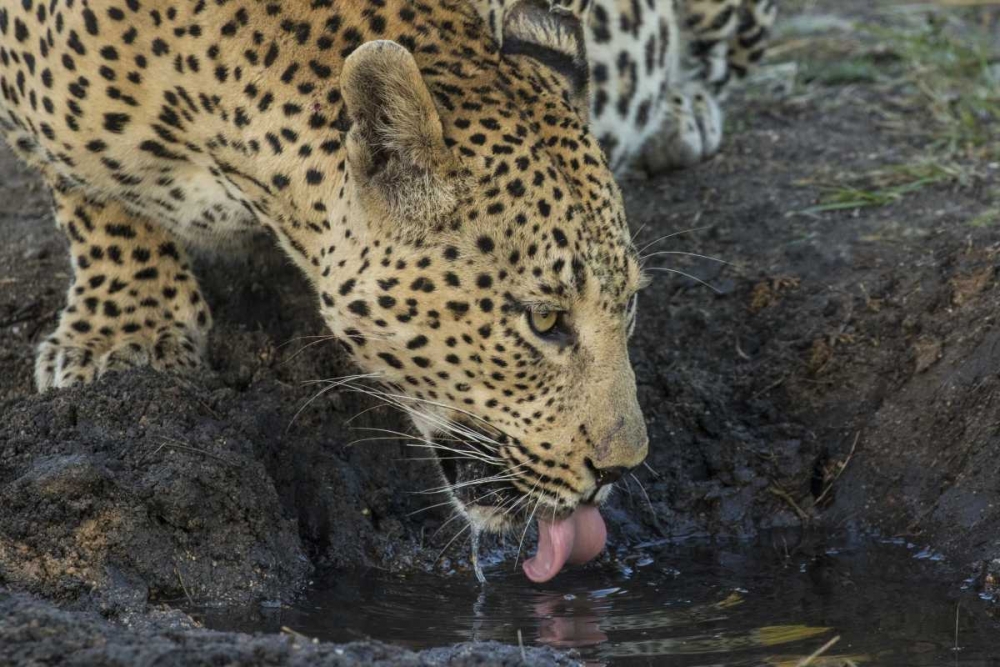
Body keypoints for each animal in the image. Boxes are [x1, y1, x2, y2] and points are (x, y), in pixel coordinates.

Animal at [0, 0, 772, 582]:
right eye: (545, 320)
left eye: (630, 303)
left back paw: (678, 112)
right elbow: (93, 194)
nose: (621, 469)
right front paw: (123, 331)